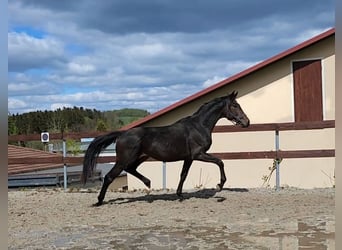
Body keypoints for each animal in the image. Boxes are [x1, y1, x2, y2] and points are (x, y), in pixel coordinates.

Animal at [83, 91, 248, 206]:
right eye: (235, 105)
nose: (246, 122)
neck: (199, 126)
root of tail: (122, 134)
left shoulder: (189, 158)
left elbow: (183, 175)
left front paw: (180, 195)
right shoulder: (199, 154)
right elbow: (220, 162)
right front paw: (220, 185)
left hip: (140, 157)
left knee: (131, 169)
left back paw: (148, 183)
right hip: (124, 159)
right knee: (109, 177)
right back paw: (99, 201)